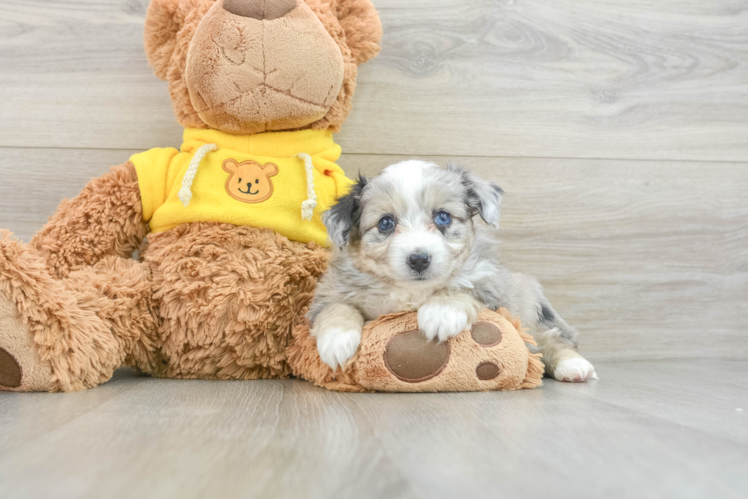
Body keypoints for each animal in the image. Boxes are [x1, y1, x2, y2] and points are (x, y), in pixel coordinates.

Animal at [306, 160, 600, 382]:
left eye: (443, 217)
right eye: (386, 223)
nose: (419, 259)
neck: (412, 292)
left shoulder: (490, 284)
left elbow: (463, 286)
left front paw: (440, 314)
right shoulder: (329, 293)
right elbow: (337, 308)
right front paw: (336, 342)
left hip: (530, 306)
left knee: (552, 338)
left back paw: (573, 366)